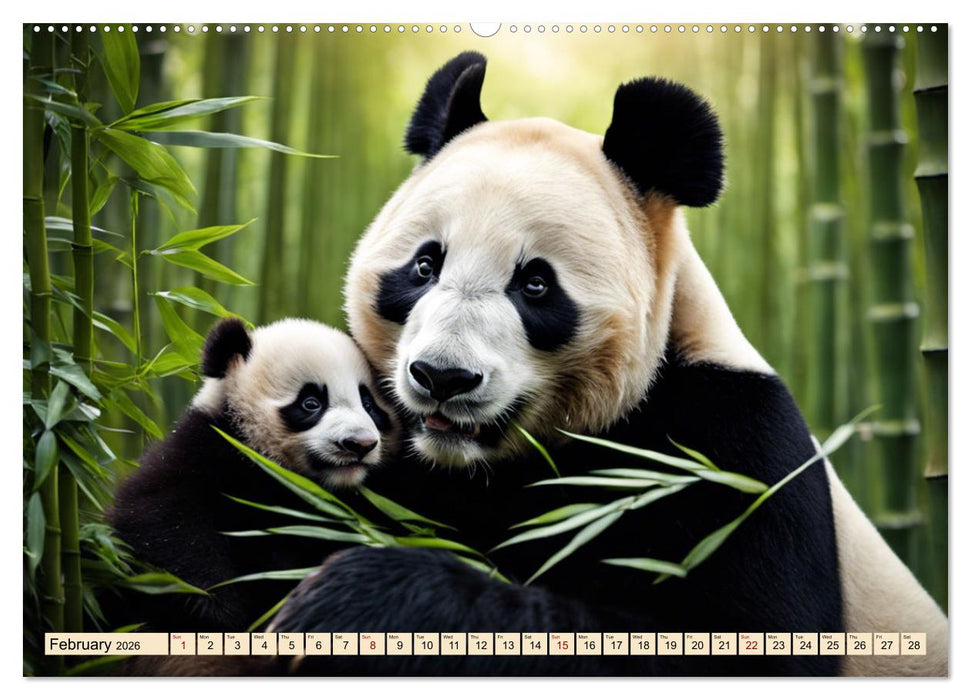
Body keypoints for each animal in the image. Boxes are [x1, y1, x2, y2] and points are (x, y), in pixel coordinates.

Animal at [107, 317, 396, 634]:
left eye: (369, 405)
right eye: (311, 403)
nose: (360, 444)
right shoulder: (202, 453)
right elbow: (163, 523)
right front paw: (215, 609)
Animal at [268, 52, 947, 676]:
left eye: (536, 285)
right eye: (425, 265)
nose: (443, 377)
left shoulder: (738, 451)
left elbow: (748, 643)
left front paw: (356, 602)